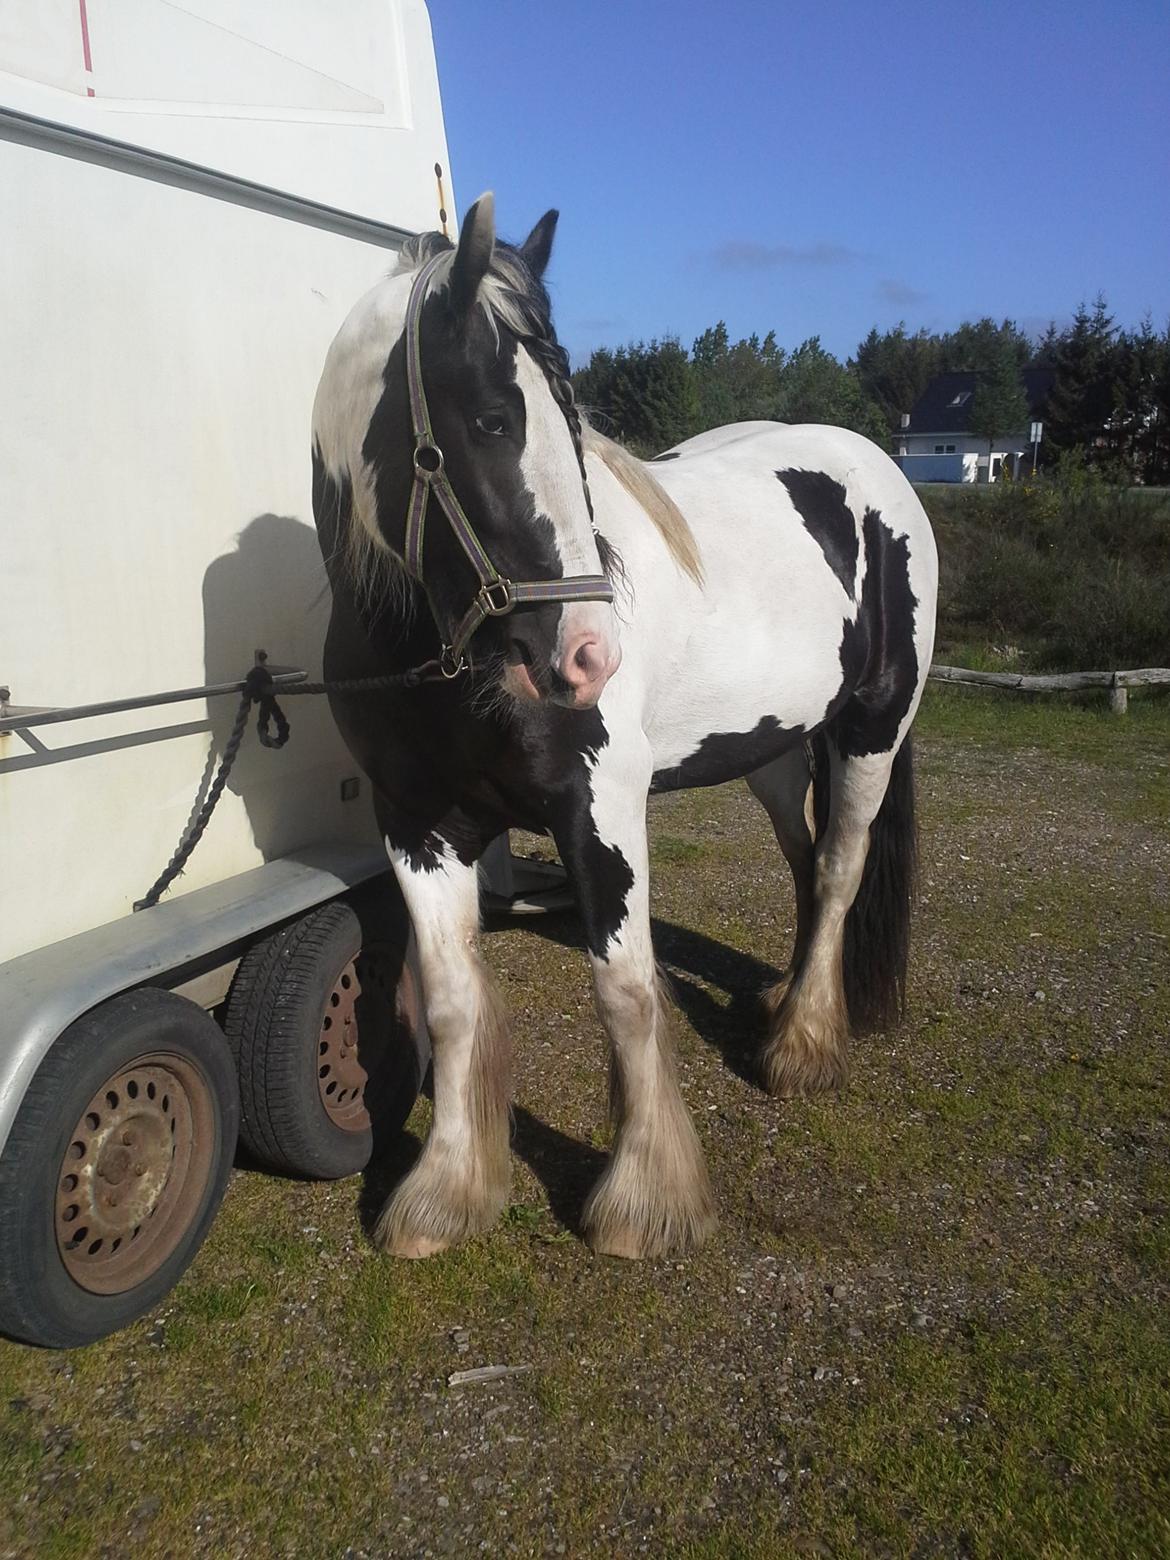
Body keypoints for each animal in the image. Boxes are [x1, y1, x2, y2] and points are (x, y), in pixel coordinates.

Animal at [312, 198, 942, 1266]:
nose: (587, 655)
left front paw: (644, 1200)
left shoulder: (599, 809)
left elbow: (627, 991)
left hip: (871, 728)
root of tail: (874, 470)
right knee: (808, 860)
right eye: (490, 419)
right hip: (775, 750)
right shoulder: (418, 825)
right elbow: (451, 1002)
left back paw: (802, 1046)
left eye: (573, 421)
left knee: (843, 864)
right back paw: (781, 1005)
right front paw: (445, 1193)